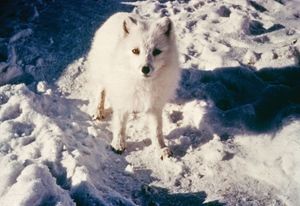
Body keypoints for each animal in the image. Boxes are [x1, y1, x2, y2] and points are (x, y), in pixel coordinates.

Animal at [86, 12, 180, 159]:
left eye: (156, 51)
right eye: (135, 51)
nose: (145, 69)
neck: (143, 84)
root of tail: (118, 13)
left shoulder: (155, 105)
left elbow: (157, 130)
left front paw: (161, 149)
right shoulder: (121, 100)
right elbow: (120, 126)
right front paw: (118, 144)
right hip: (100, 72)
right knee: (101, 91)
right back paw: (98, 111)